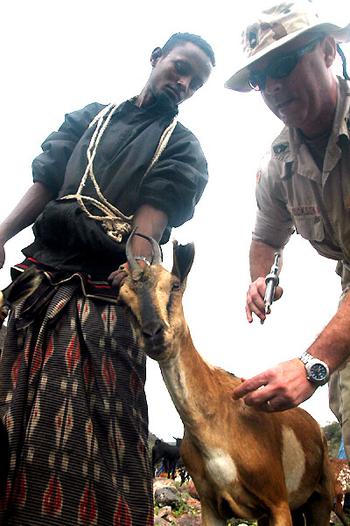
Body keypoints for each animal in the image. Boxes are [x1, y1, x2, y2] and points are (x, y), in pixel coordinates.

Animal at [120, 238, 336, 526]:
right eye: (123, 300)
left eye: (175, 285)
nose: (154, 334)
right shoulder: (211, 505)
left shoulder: (278, 503)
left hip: (321, 499)